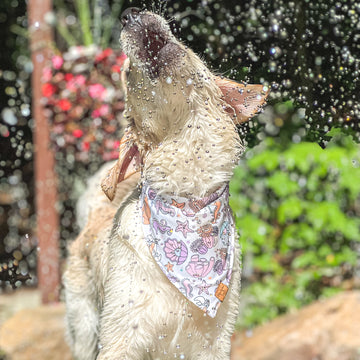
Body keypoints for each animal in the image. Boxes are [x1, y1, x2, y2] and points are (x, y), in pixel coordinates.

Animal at [63, 8, 268, 360]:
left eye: (187, 45)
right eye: (127, 72)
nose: (130, 13)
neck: (188, 198)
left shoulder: (214, 342)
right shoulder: (119, 337)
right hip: (85, 325)